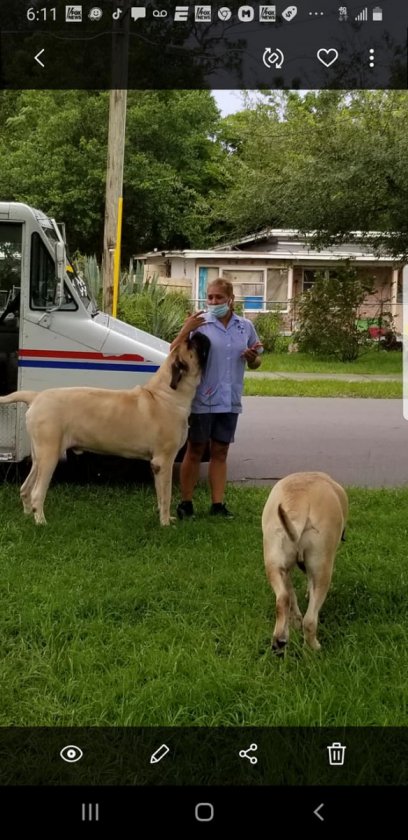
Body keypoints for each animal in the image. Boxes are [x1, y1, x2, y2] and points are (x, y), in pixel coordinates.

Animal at [0, 334, 210, 524]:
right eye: (191, 345)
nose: (199, 334)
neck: (165, 395)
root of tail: (36, 396)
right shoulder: (163, 461)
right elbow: (166, 496)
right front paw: (165, 524)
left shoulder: (157, 465)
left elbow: (160, 495)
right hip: (49, 455)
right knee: (37, 492)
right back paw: (41, 522)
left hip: (39, 456)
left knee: (25, 488)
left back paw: (28, 515)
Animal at [262, 472, 348, 648]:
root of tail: (297, 508)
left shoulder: (286, 570)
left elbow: (291, 594)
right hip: (322, 570)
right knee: (309, 620)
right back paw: (313, 647)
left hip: (274, 562)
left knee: (283, 599)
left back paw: (280, 639)